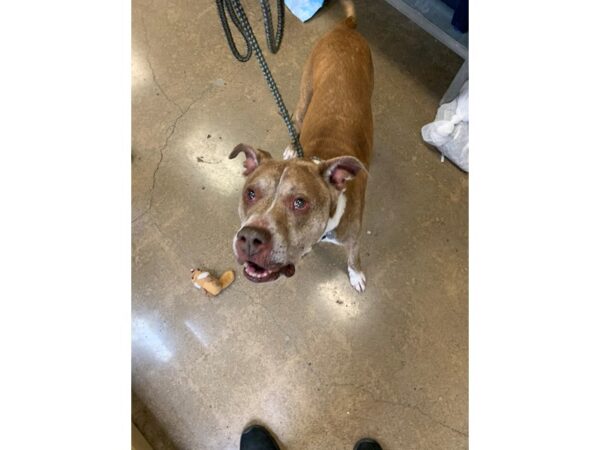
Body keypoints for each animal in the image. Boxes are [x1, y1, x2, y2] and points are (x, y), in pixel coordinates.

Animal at [229, 0, 372, 294]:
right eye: (250, 193)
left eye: (299, 203)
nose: (250, 237)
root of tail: (346, 28)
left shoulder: (354, 238)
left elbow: (354, 257)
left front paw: (356, 275)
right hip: (305, 94)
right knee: (295, 117)